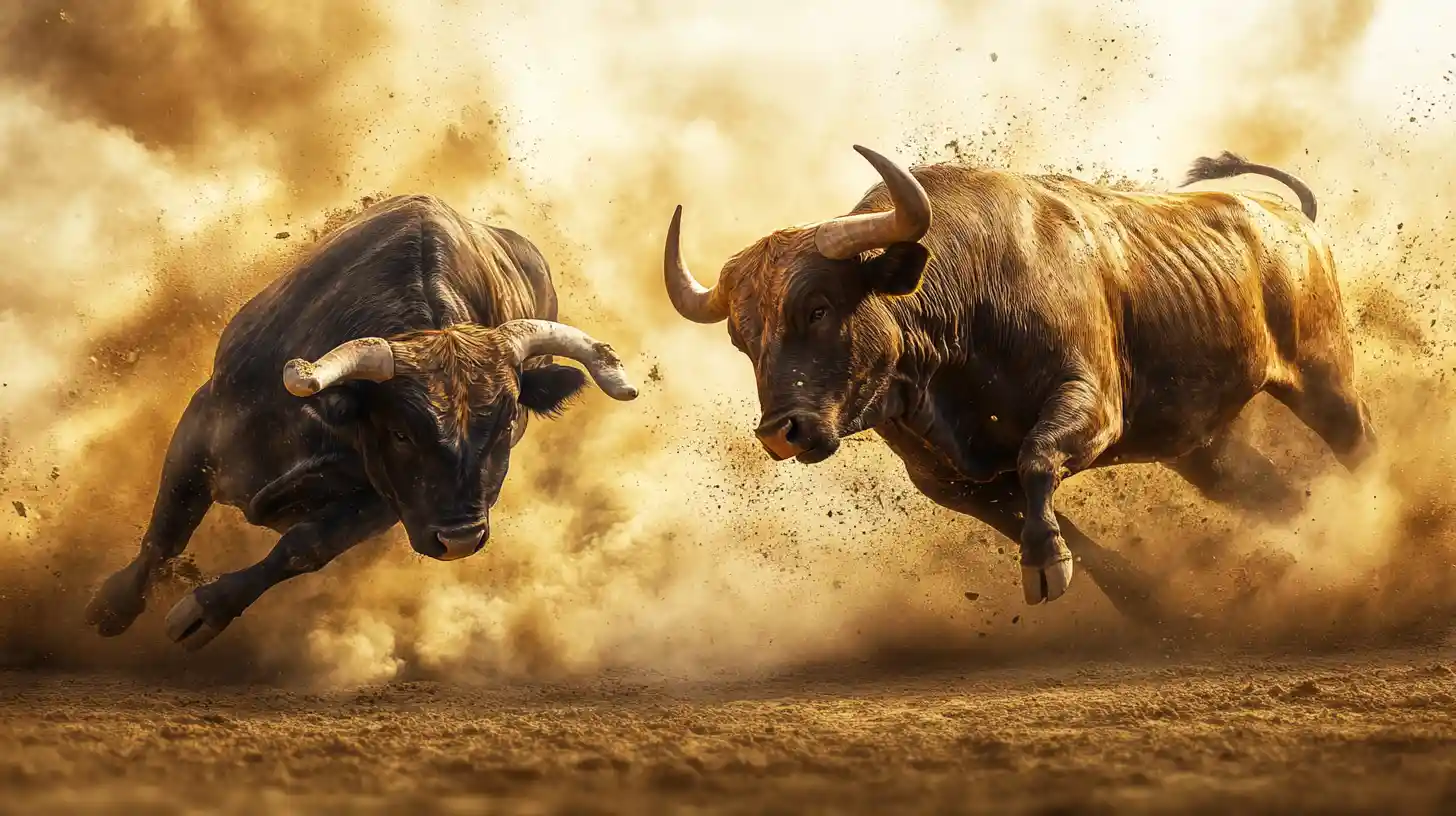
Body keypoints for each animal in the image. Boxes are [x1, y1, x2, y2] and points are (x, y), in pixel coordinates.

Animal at [83, 194, 640, 650]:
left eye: (505, 426)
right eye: (400, 431)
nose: (460, 539)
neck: (319, 422)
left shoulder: (389, 503)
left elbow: (303, 547)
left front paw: (205, 611)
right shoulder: (202, 427)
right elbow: (167, 526)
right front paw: (114, 605)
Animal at [661, 145, 1376, 610]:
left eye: (818, 307)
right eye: (741, 337)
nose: (780, 432)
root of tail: (1290, 221)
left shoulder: (1091, 408)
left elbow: (1037, 460)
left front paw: (1046, 564)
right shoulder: (953, 483)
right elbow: (1062, 529)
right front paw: (1138, 597)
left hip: (1323, 377)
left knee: (1358, 444)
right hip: (1202, 446)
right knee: (1270, 491)